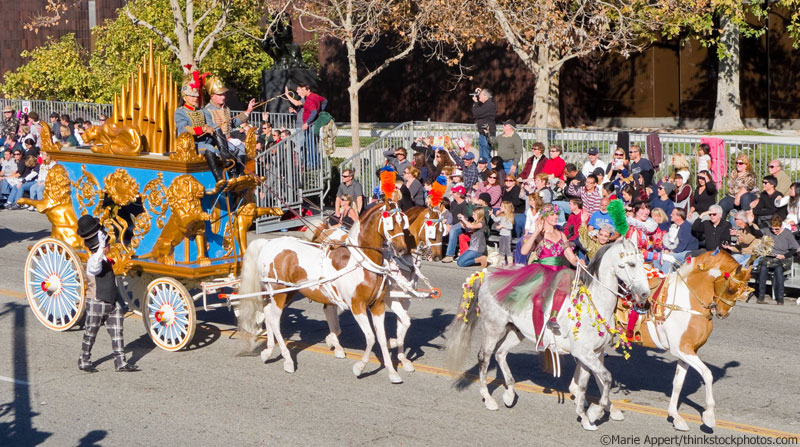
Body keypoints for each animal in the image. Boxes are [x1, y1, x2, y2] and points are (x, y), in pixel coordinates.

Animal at [236, 201, 412, 384]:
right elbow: (370, 338)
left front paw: (392, 372)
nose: (402, 249)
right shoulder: (357, 306)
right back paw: (288, 360)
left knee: (268, 314)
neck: (362, 262)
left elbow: (382, 339)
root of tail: (269, 243)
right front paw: (359, 367)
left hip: (286, 292)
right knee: (274, 320)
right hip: (279, 293)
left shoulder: (377, 306)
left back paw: (268, 351)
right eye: (391, 222)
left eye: (403, 222)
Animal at [446, 240, 652, 432]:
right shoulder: (584, 353)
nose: (645, 294)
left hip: (516, 331)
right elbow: (606, 377)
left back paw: (510, 394)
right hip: (493, 327)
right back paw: (488, 399)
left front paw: (585, 418)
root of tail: (487, 275)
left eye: (643, 262)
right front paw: (595, 412)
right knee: (484, 357)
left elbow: (585, 385)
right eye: (631, 264)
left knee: (500, 354)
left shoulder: (593, 353)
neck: (593, 304)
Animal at [624, 252, 752, 430]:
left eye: (745, 291)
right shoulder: (681, 349)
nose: (723, 313)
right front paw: (709, 416)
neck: (687, 302)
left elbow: (678, 383)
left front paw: (675, 416)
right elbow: (707, 374)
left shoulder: (687, 351)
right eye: (731, 289)